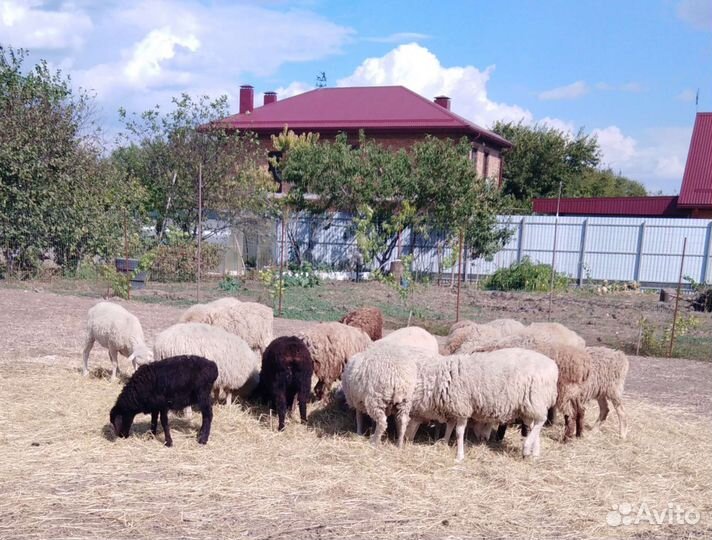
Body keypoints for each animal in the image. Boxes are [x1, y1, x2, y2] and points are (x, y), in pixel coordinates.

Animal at [406, 348, 559, 462]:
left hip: (535, 398)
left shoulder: (462, 406)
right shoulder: (454, 408)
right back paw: (535, 453)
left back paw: (527, 448)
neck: (439, 382)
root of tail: (553, 368)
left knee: (541, 420)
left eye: (409, 418)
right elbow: (450, 427)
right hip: (528, 404)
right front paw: (444, 442)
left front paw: (459, 456)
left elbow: (459, 432)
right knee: (534, 425)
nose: (407, 439)